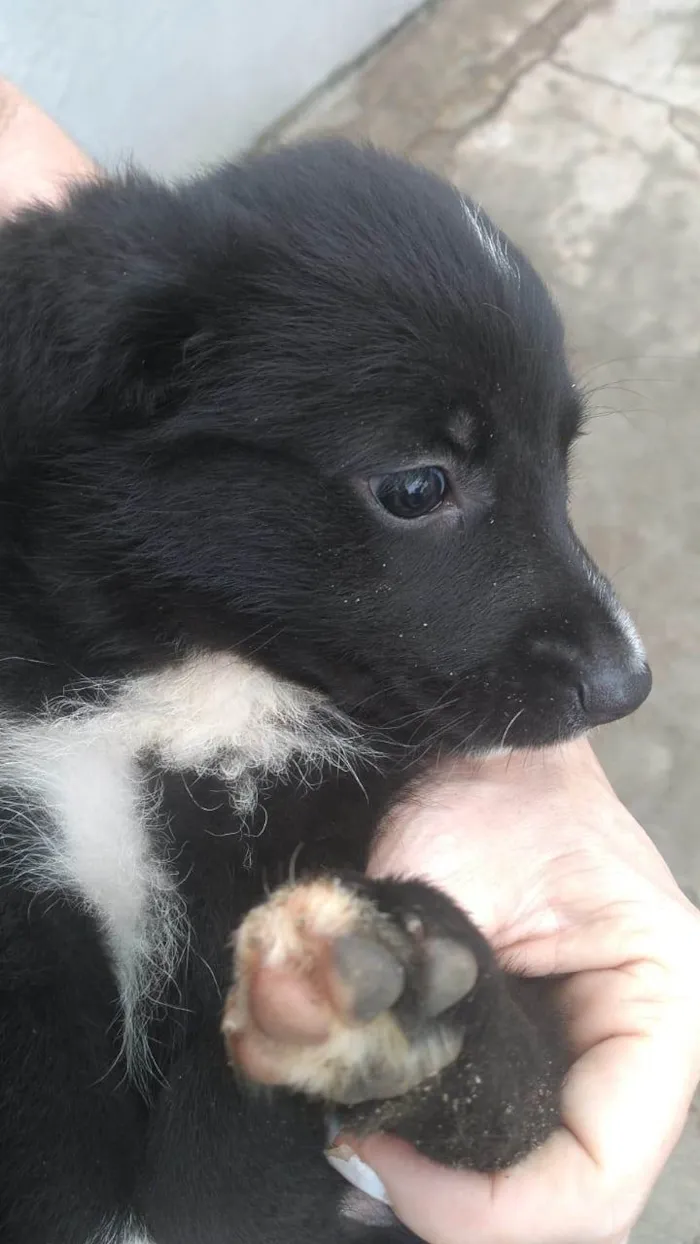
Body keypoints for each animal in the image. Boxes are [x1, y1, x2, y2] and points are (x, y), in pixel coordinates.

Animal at [0, 141, 651, 1244]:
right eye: (417, 486)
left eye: (561, 462)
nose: (627, 682)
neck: (183, 685)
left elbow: (509, 1086)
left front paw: (405, 1004)